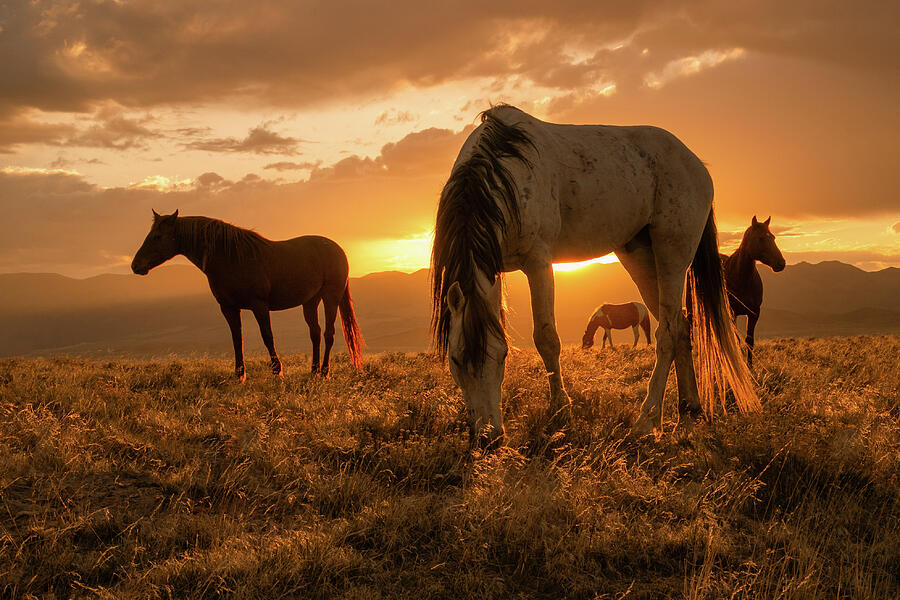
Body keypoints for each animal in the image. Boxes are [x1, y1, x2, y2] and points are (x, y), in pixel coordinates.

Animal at [131, 212, 362, 380]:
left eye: (157, 237)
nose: (135, 265)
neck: (231, 257)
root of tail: (339, 250)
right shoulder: (228, 308)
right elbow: (237, 339)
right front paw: (239, 375)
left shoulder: (259, 305)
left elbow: (267, 336)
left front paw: (277, 371)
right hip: (310, 301)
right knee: (315, 333)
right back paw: (313, 371)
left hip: (330, 297)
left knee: (329, 334)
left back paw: (324, 372)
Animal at [432, 106, 756, 446]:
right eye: (455, 359)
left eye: (502, 356)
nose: (488, 437)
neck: (504, 168)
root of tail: (695, 164)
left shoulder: (538, 263)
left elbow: (547, 338)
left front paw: (561, 412)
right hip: (639, 257)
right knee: (680, 326)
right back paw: (689, 409)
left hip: (672, 255)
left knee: (666, 333)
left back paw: (646, 420)